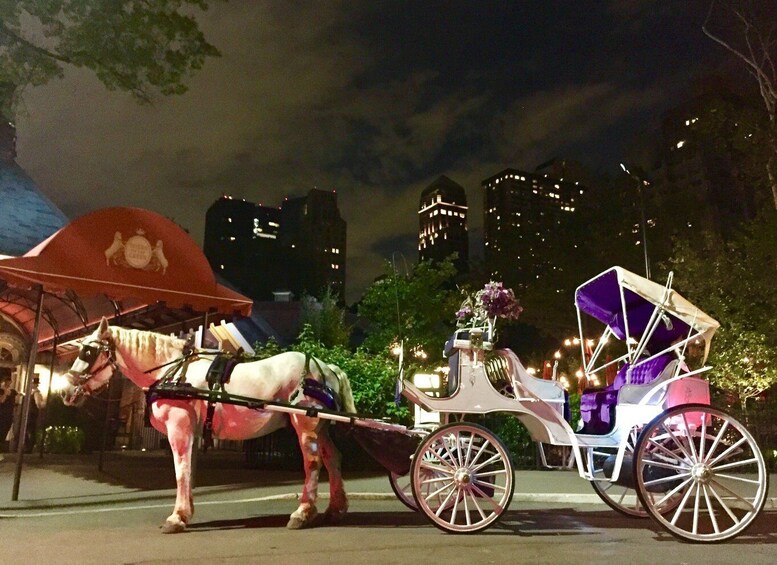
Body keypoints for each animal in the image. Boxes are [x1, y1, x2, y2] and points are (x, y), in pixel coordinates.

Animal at [62, 318, 356, 532]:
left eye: (88, 351)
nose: (65, 390)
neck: (172, 372)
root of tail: (327, 367)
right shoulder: (191, 431)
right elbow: (189, 471)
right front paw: (185, 512)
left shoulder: (178, 428)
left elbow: (181, 470)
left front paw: (176, 517)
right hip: (320, 427)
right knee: (333, 458)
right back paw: (335, 508)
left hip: (305, 424)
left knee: (313, 463)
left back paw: (303, 513)